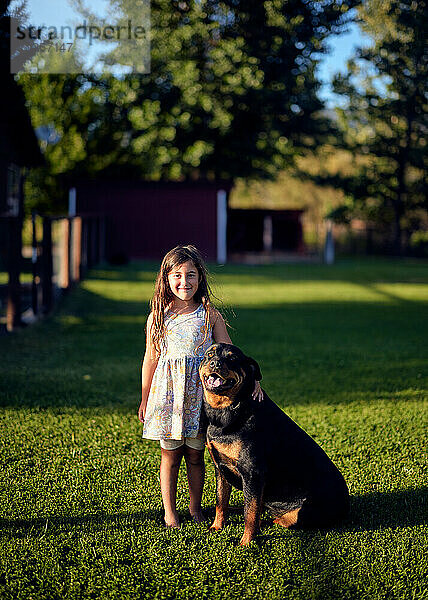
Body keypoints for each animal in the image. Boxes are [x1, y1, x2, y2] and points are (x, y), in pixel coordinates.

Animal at [199, 342, 350, 544]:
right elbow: (221, 502)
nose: (215, 363)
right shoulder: (220, 468)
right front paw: (216, 526)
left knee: (272, 517)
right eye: (210, 355)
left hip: (300, 513)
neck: (228, 409)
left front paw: (246, 543)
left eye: (232, 358)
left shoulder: (253, 473)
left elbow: (250, 513)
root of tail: (346, 507)